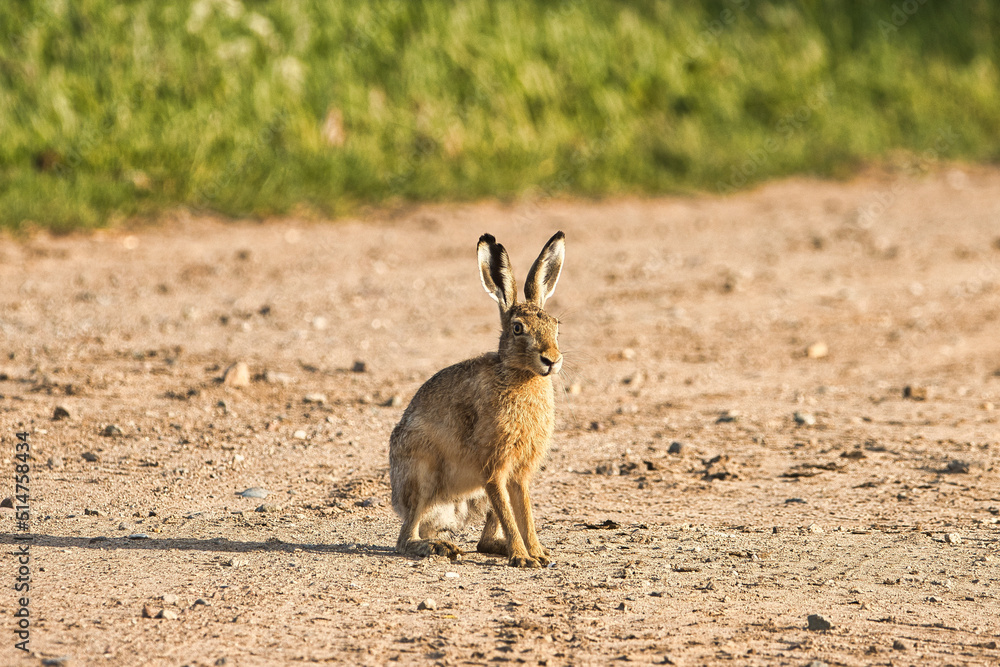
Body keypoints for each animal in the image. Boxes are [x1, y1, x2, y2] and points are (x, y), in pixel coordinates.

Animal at [389, 231, 566, 568]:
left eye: (556, 326)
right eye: (518, 328)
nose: (551, 359)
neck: (519, 376)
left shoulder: (518, 475)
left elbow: (524, 513)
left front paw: (537, 553)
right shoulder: (493, 467)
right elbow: (512, 515)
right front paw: (523, 558)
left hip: (478, 497)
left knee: (483, 540)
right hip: (422, 475)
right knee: (404, 538)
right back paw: (438, 546)